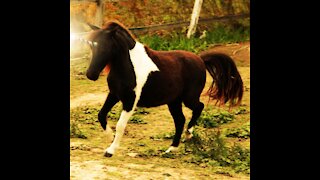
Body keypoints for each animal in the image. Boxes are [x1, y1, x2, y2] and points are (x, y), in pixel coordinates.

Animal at [80, 20, 242, 157]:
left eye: (105, 47)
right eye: (91, 46)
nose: (91, 75)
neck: (129, 66)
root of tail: (201, 60)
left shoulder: (130, 101)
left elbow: (120, 125)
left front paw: (111, 150)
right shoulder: (114, 94)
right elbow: (101, 115)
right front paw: (110, 136)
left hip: (188, 98)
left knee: (198, 107)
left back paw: (189, 134)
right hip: (174, 102)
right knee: (180, 120)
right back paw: (171, 149)